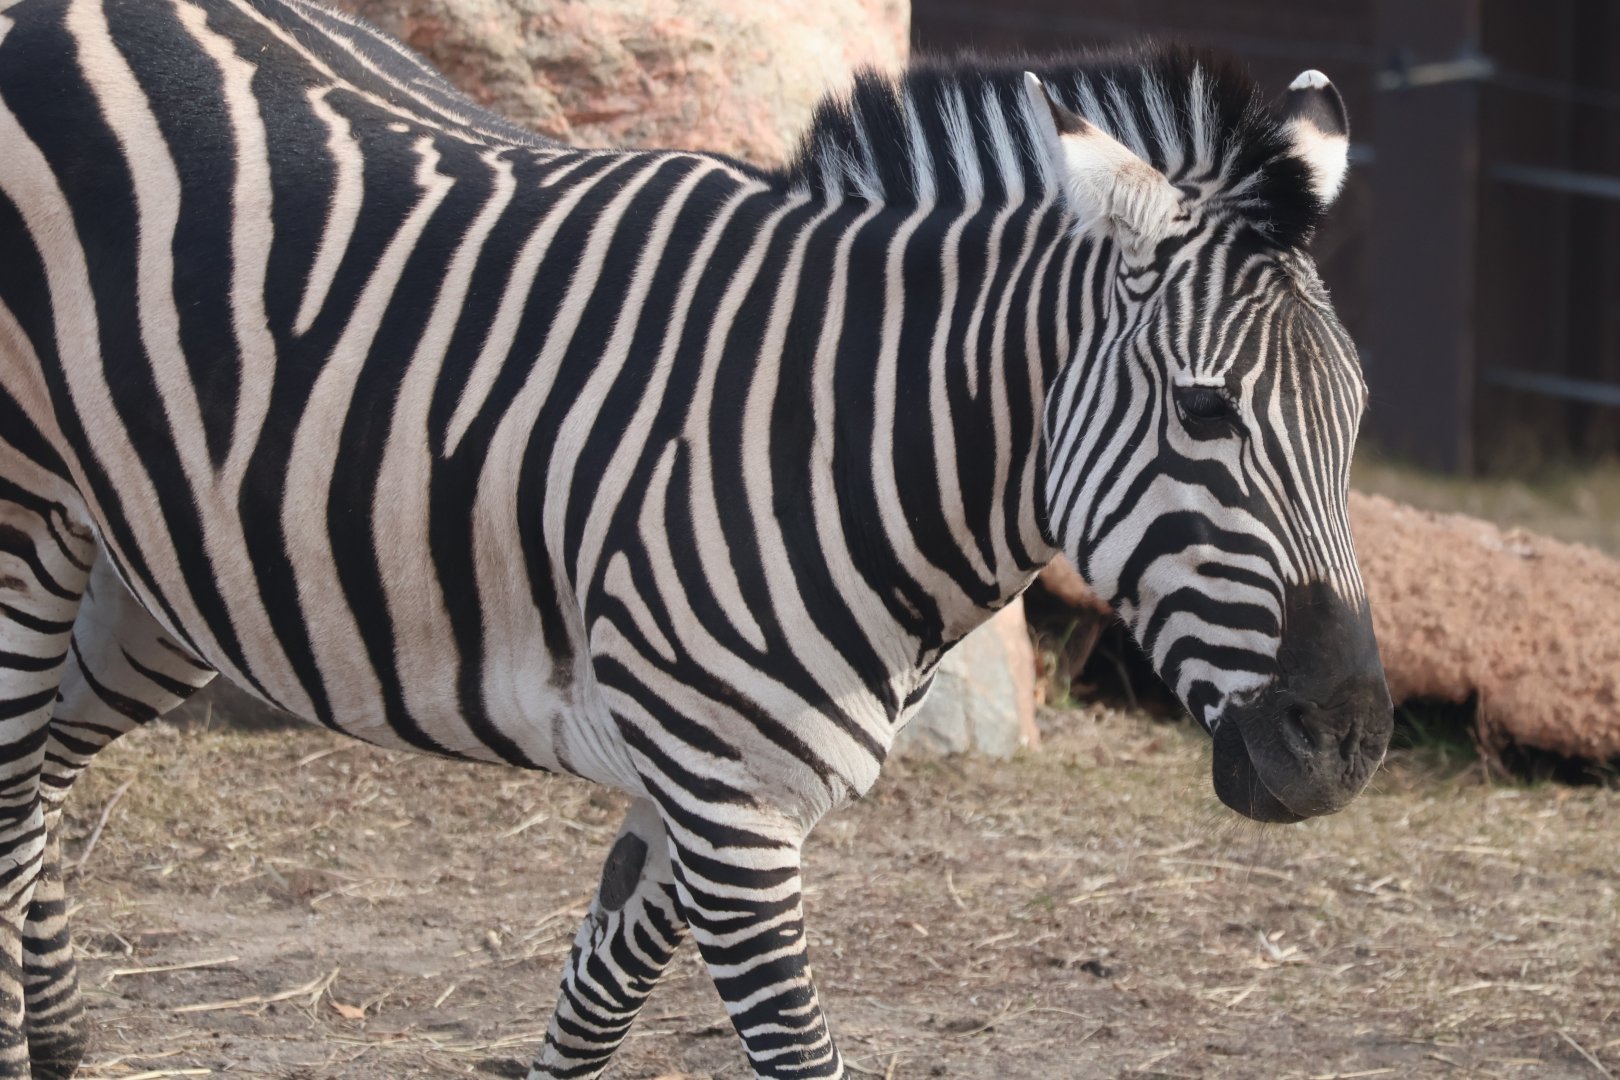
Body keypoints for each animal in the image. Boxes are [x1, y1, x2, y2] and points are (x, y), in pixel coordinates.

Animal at [0, 0, 1394, 1075]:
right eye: (1206, 412)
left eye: (1357, 417)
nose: (1349, 743)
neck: (838, 435)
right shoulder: (732, 801)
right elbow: (791, 1051)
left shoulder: (706, 789)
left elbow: (594, 1006)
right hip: (27, 519)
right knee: (13, 794)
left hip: (165, 567)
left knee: (43, 777)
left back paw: (59, 1036)